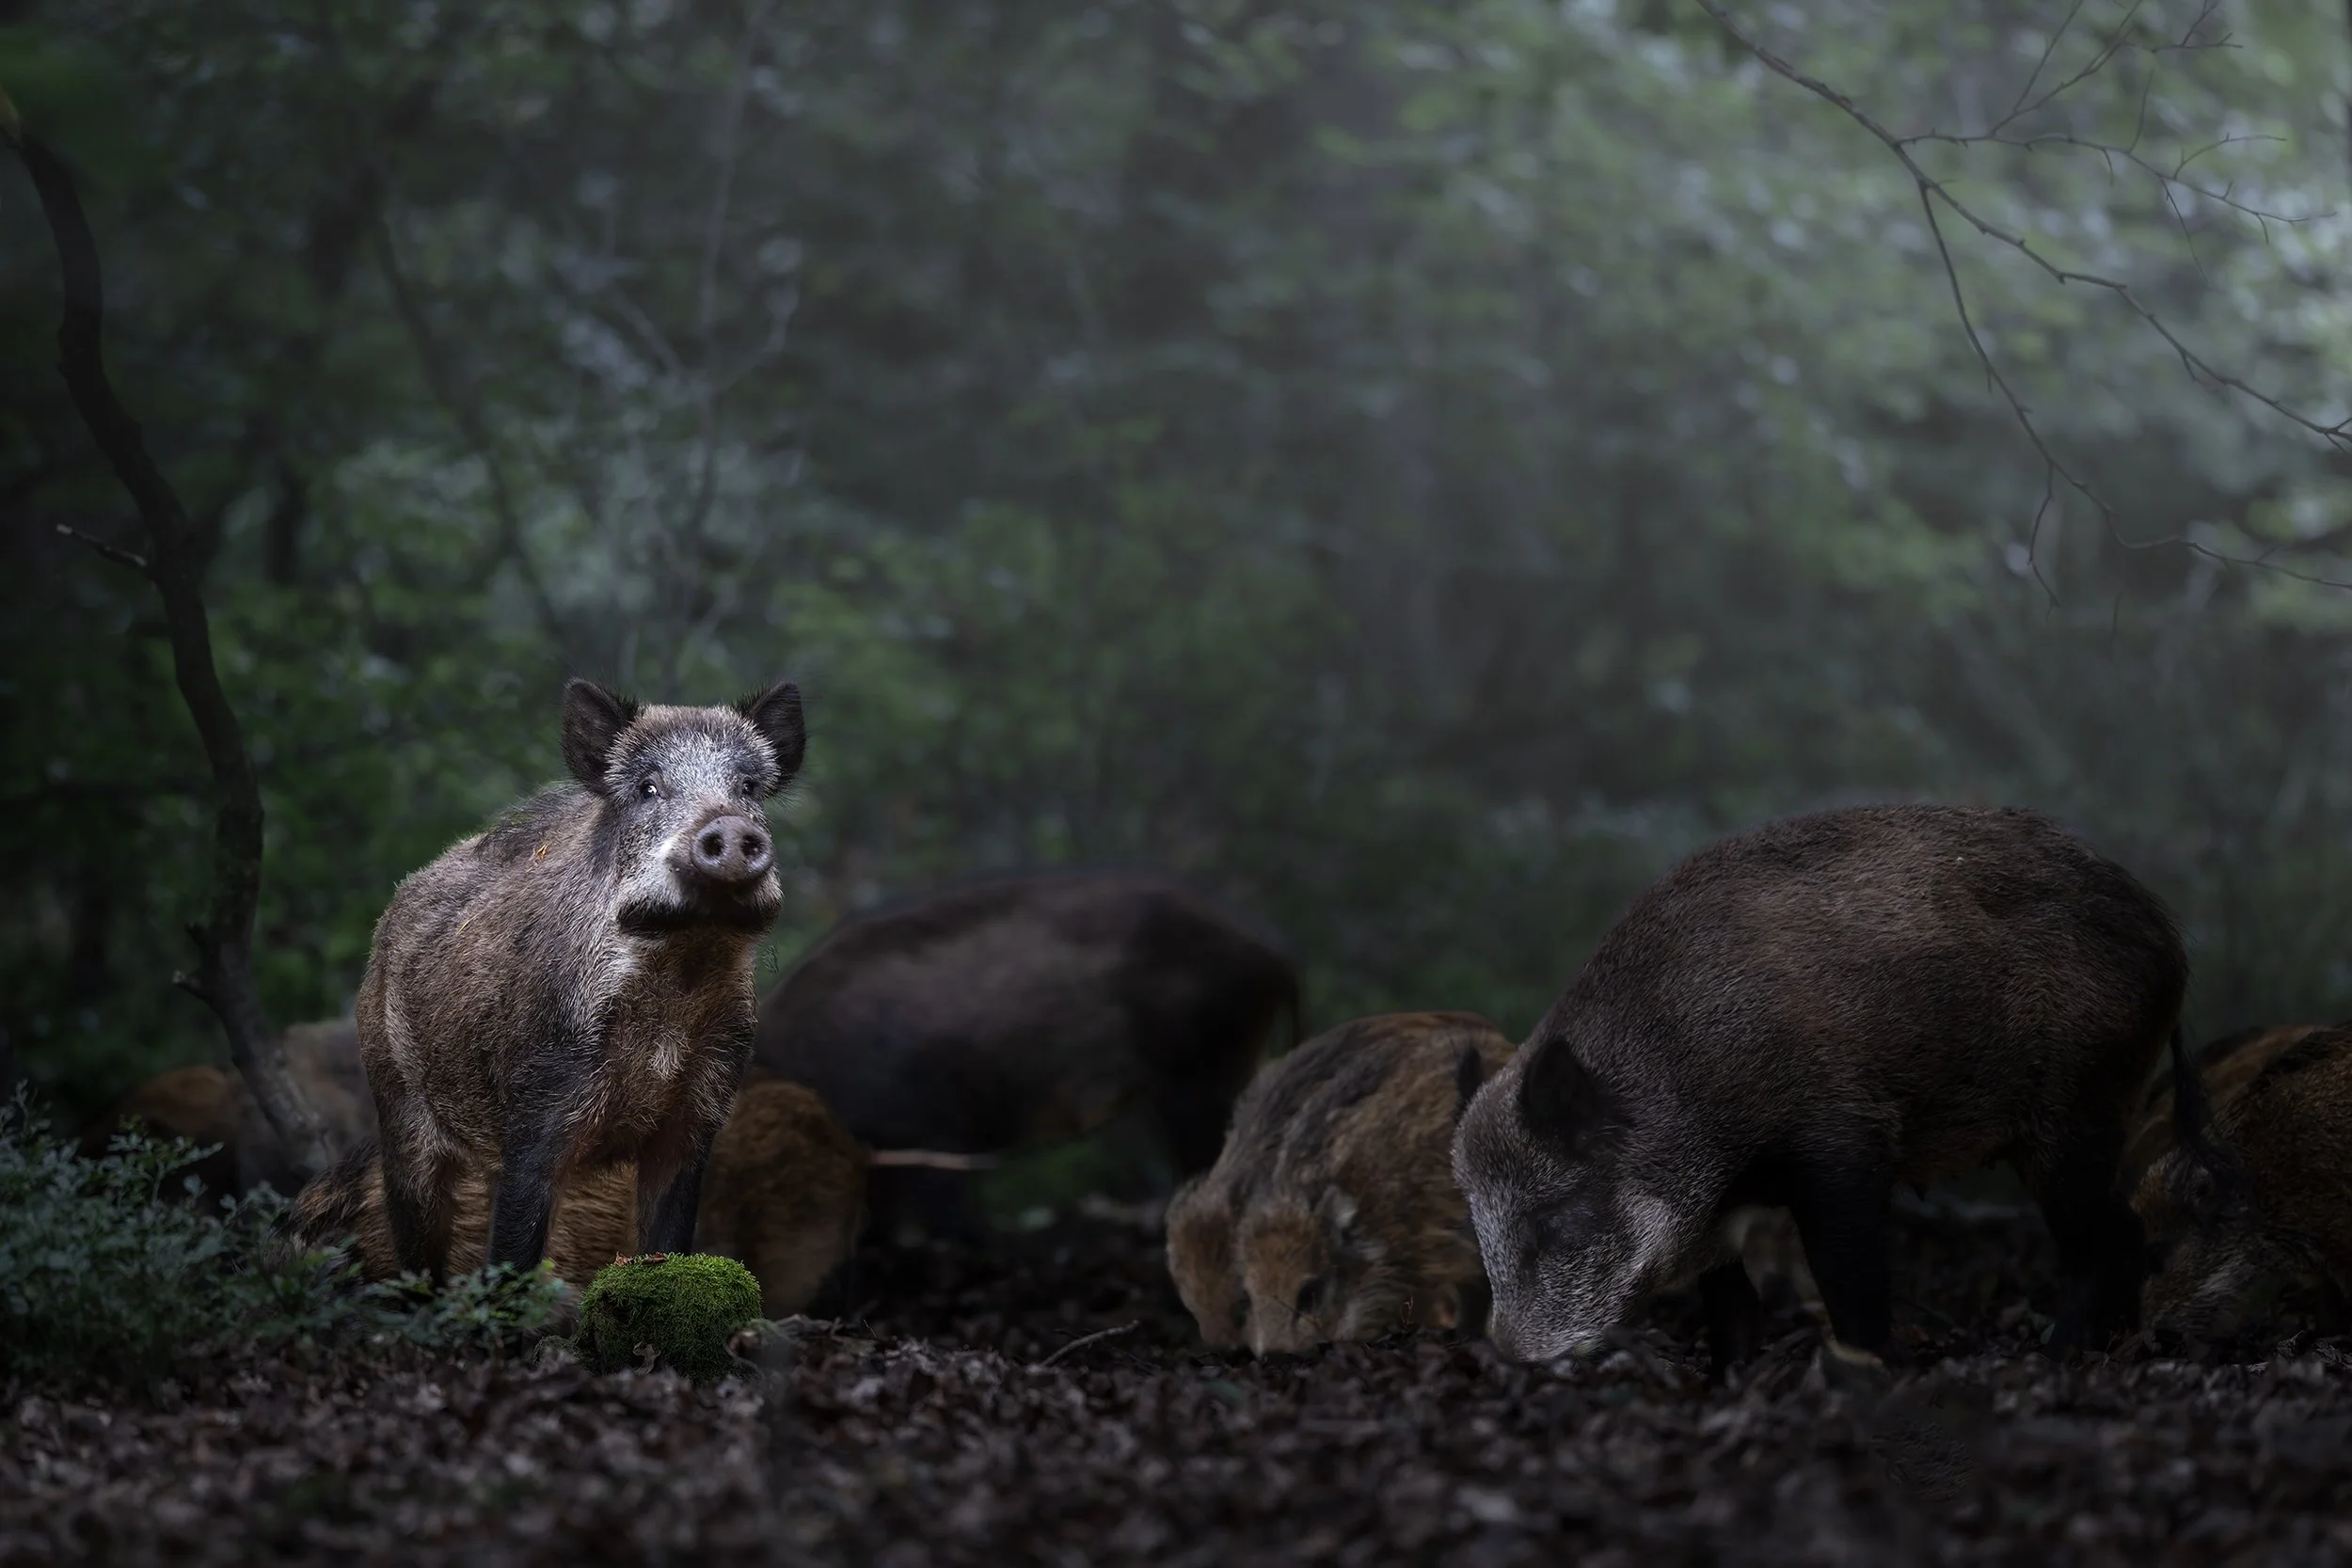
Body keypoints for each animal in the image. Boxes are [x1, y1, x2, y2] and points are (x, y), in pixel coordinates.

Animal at [358, 678, 803, 1279]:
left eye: (749, 787)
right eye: (647, 787)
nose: (730, 825)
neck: (679, 979)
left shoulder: (700, 1113)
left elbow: (666, 1239)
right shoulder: (537, 1111)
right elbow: (515, 1255)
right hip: (398, 1106)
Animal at [1453, 804, 2214, 1368]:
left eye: (1551, 1221)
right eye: (1478, 1225)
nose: (1505, 1356)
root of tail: (2170, 940)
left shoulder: (1843, 1143)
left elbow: (1847, 1277)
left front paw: (1878, 1366)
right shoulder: (1718, 1220)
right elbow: (1733, 1303)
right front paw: (1732, 1378)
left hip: (2078, 1113)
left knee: (2104, 1236)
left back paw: (2058, 1357)